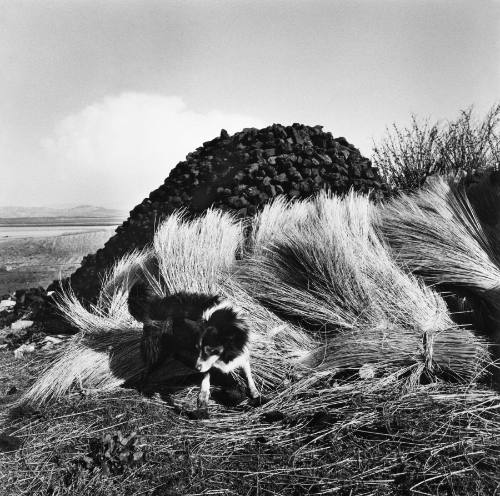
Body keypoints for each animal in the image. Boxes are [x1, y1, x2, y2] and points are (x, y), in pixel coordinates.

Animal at [127, 280, 260, 416]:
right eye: (199, 348)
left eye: (210, 350)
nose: (196, 368)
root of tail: (156, 305)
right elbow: (207, 374)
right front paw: (203, 396)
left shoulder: (242, 352)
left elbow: (247, 372)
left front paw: (254, 391)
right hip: (158, 351)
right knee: (147, 371)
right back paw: (144, 390)